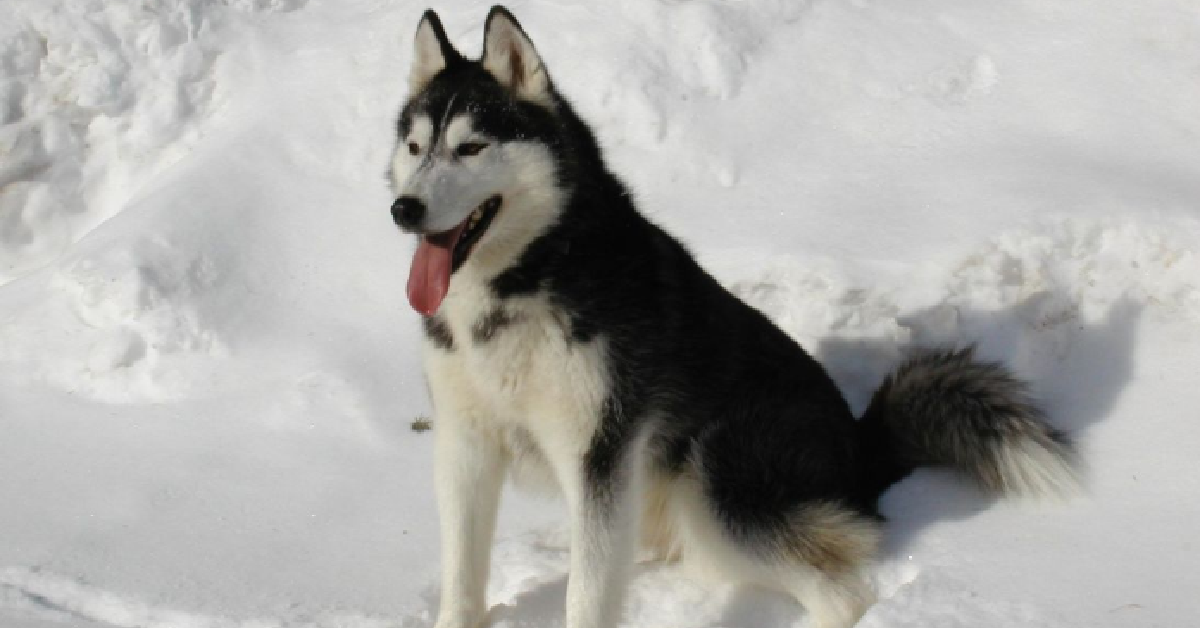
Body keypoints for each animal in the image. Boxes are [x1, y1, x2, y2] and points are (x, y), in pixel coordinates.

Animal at [388, 8, 1084, 628]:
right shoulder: (466, 443)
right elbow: (461, 578)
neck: (524, 282)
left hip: (716, 483)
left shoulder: (600, 456)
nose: (403, 208)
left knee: (841, 596)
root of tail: (859, 445)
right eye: (416, 147)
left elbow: (586, 600)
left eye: (471, 147)